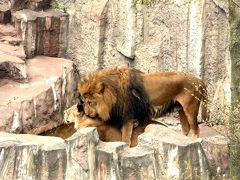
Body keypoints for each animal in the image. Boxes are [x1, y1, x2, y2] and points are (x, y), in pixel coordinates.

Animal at [79, 67, 208, 144]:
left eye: (90, 102)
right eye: (84, 101)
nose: (86, 113)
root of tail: (200, 81)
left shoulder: (128, 118)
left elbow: (125, 138)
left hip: (190, 108)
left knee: (196, 129)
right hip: (181, 109)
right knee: (186, 128)